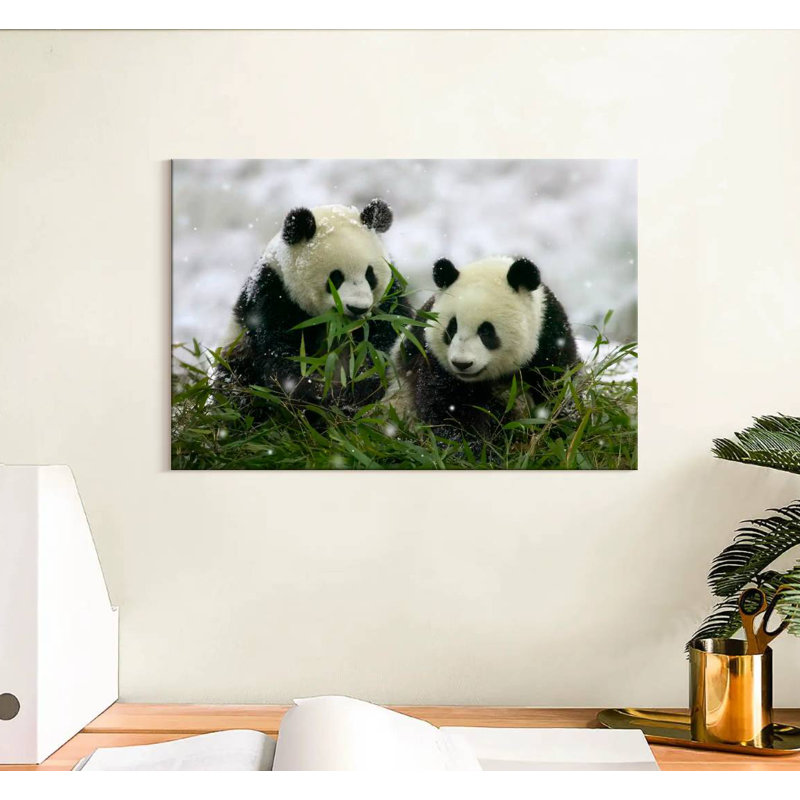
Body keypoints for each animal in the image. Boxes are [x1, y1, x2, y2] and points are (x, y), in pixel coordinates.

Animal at [217, 199, 409, 409]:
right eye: (336, 277)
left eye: (370, 275)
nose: (358, 308)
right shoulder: (273, 295)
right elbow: (282, 355)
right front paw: (320, 395)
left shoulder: (389, 299)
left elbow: (385, 339)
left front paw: (359, 386)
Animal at [388, 255, 579, 440]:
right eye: (452, 328)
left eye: (486, 331)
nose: (462, 364)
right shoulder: (432, 358)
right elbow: (448, 408)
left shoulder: (550, 338)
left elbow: (556, 390)